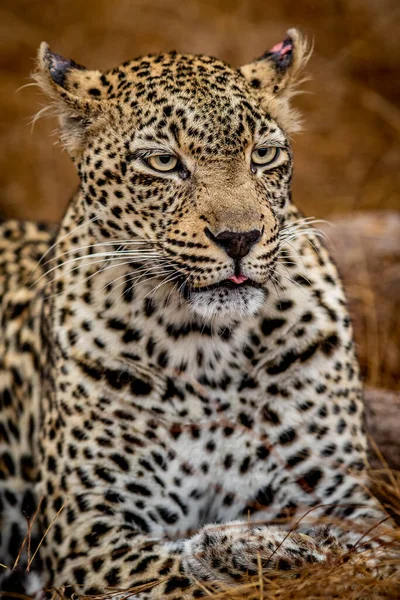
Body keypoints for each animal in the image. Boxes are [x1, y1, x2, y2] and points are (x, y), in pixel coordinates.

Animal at [0, 29, 394, 600]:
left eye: (263, 155)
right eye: (163, 162)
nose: (240, 238)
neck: (209, 348)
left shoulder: (340, 495)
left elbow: (375, 555)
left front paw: (261, 548)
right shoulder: (85, 527)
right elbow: (174, 577)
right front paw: (236, 551)